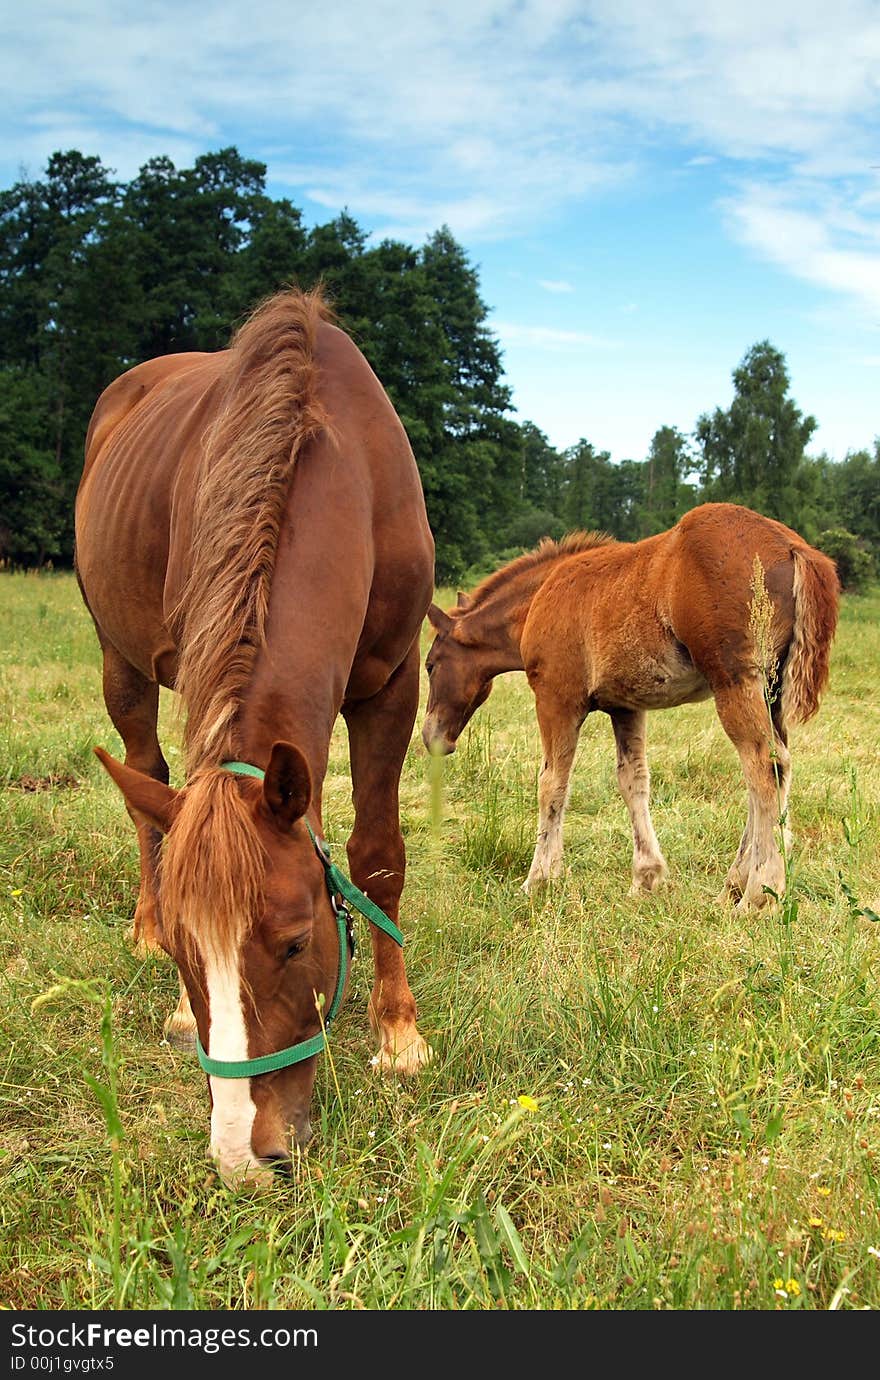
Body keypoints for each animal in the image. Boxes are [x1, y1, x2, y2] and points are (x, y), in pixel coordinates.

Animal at [75, 285, 435, 1181]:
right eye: (185, 953)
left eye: (297, 943)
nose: (244, 1151)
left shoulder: (392, 684)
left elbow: (377, 855)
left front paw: (398, 1032)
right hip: (120, 664)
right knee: (146, 788)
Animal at [424, 507, 844, 916]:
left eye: (429, 665)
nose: (431, 737)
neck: (541, 598)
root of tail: (792, 546)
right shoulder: (625, 707)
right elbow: (633, 781)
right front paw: (646, 878)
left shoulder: (556, 697)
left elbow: (552, 784)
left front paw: (539, 880)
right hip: (771, 693)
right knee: (776, 770)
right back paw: (735, 886)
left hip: (736, 682)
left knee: (763, 767)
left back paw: (758, 894)